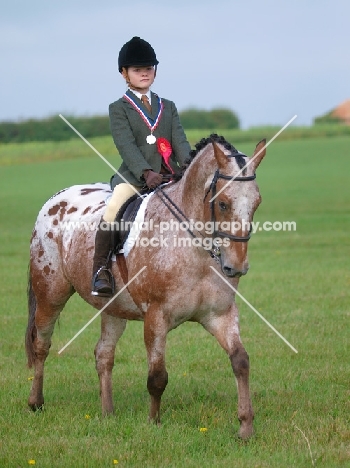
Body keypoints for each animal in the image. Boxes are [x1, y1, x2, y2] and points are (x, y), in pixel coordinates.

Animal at [25, 134, 266, 438]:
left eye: (257, 203)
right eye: (222, 203)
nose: (236, 267)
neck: (194, 247)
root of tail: (54, 200)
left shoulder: (219, 315)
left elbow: (240, 361)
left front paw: (245, 427)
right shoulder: (156, 316)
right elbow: (157, 377)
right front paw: (154, 422)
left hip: (112, 307)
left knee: (103, 354)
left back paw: (107, 412)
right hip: (51, 294)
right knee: (41, 345)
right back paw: (35, 402)